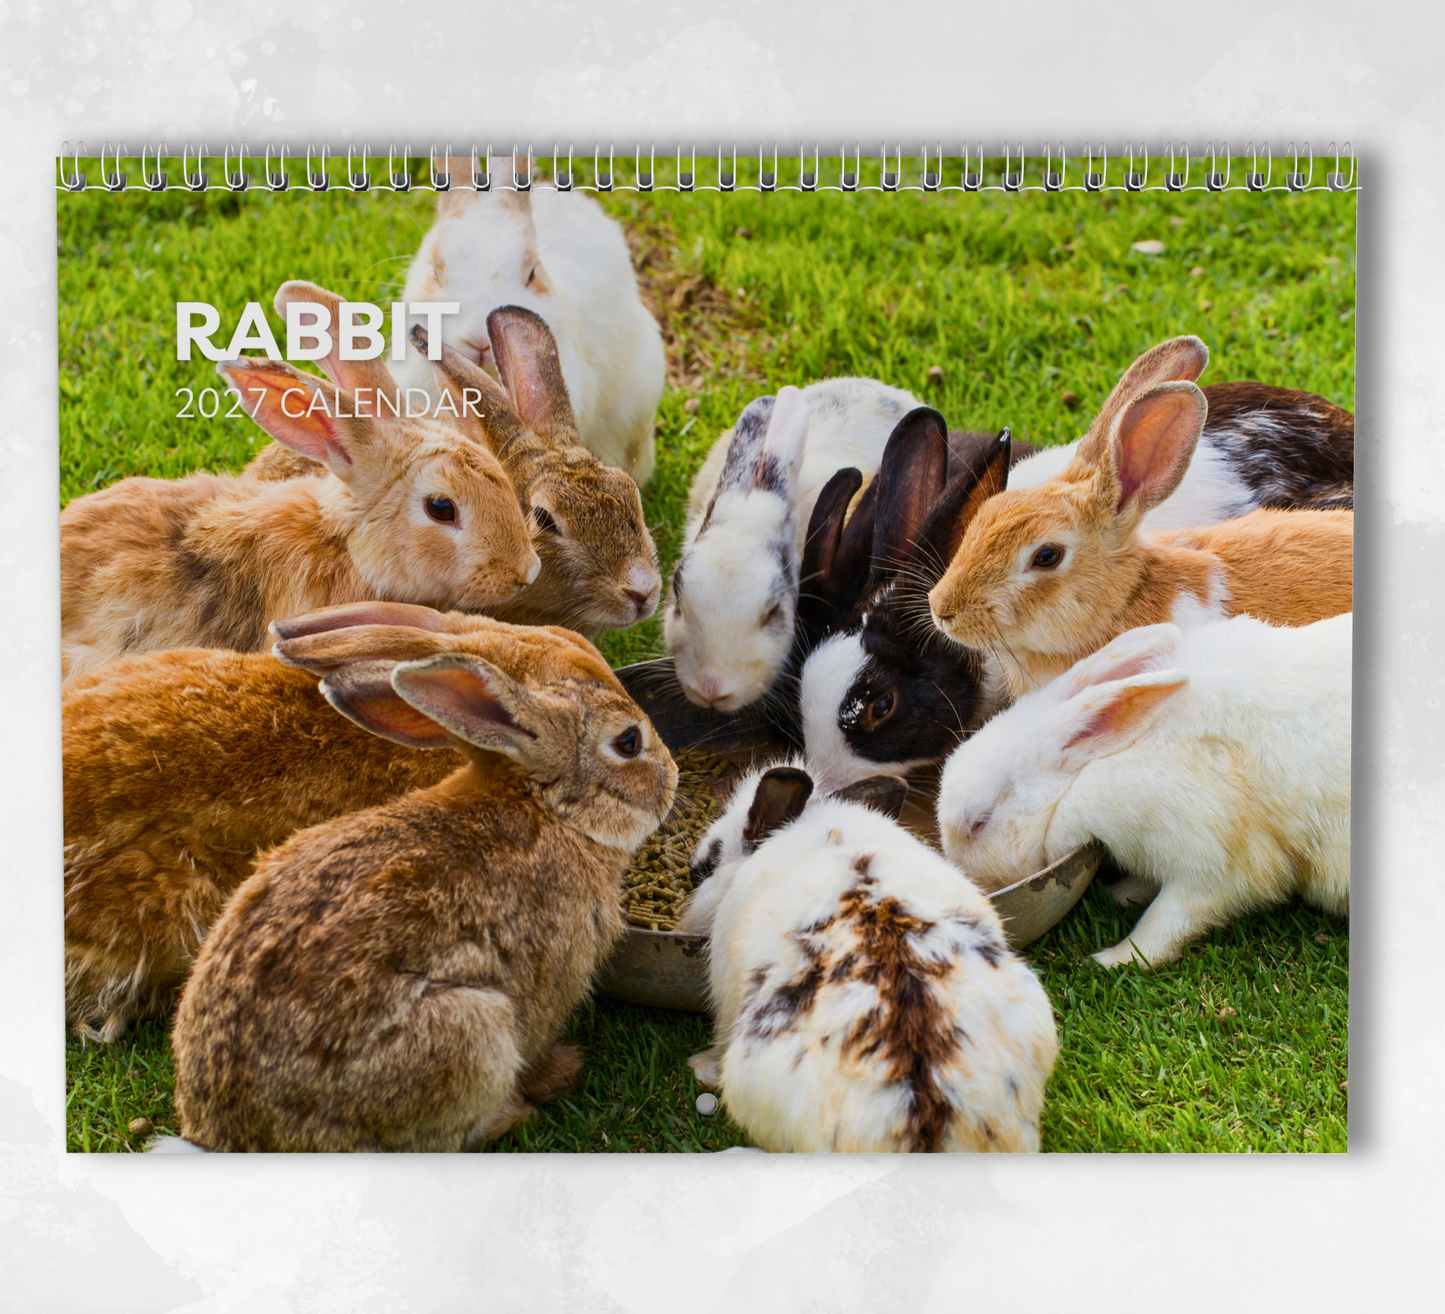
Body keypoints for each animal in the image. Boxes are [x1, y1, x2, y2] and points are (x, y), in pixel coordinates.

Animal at [170, 645, 677, 1152]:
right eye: (629, 742)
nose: (673, 773)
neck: (551, 810)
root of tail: (224, 1136)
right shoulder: (553, 981)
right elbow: (537, 1048)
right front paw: (563, 1071)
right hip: (473, 1032)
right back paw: (515, 1116)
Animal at [936, 615, 1351, 968]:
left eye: (979, 823)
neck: (1082, 778)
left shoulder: (1216, 862)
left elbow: (1167, 921)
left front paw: (1114, 959)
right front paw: (1121, 894)